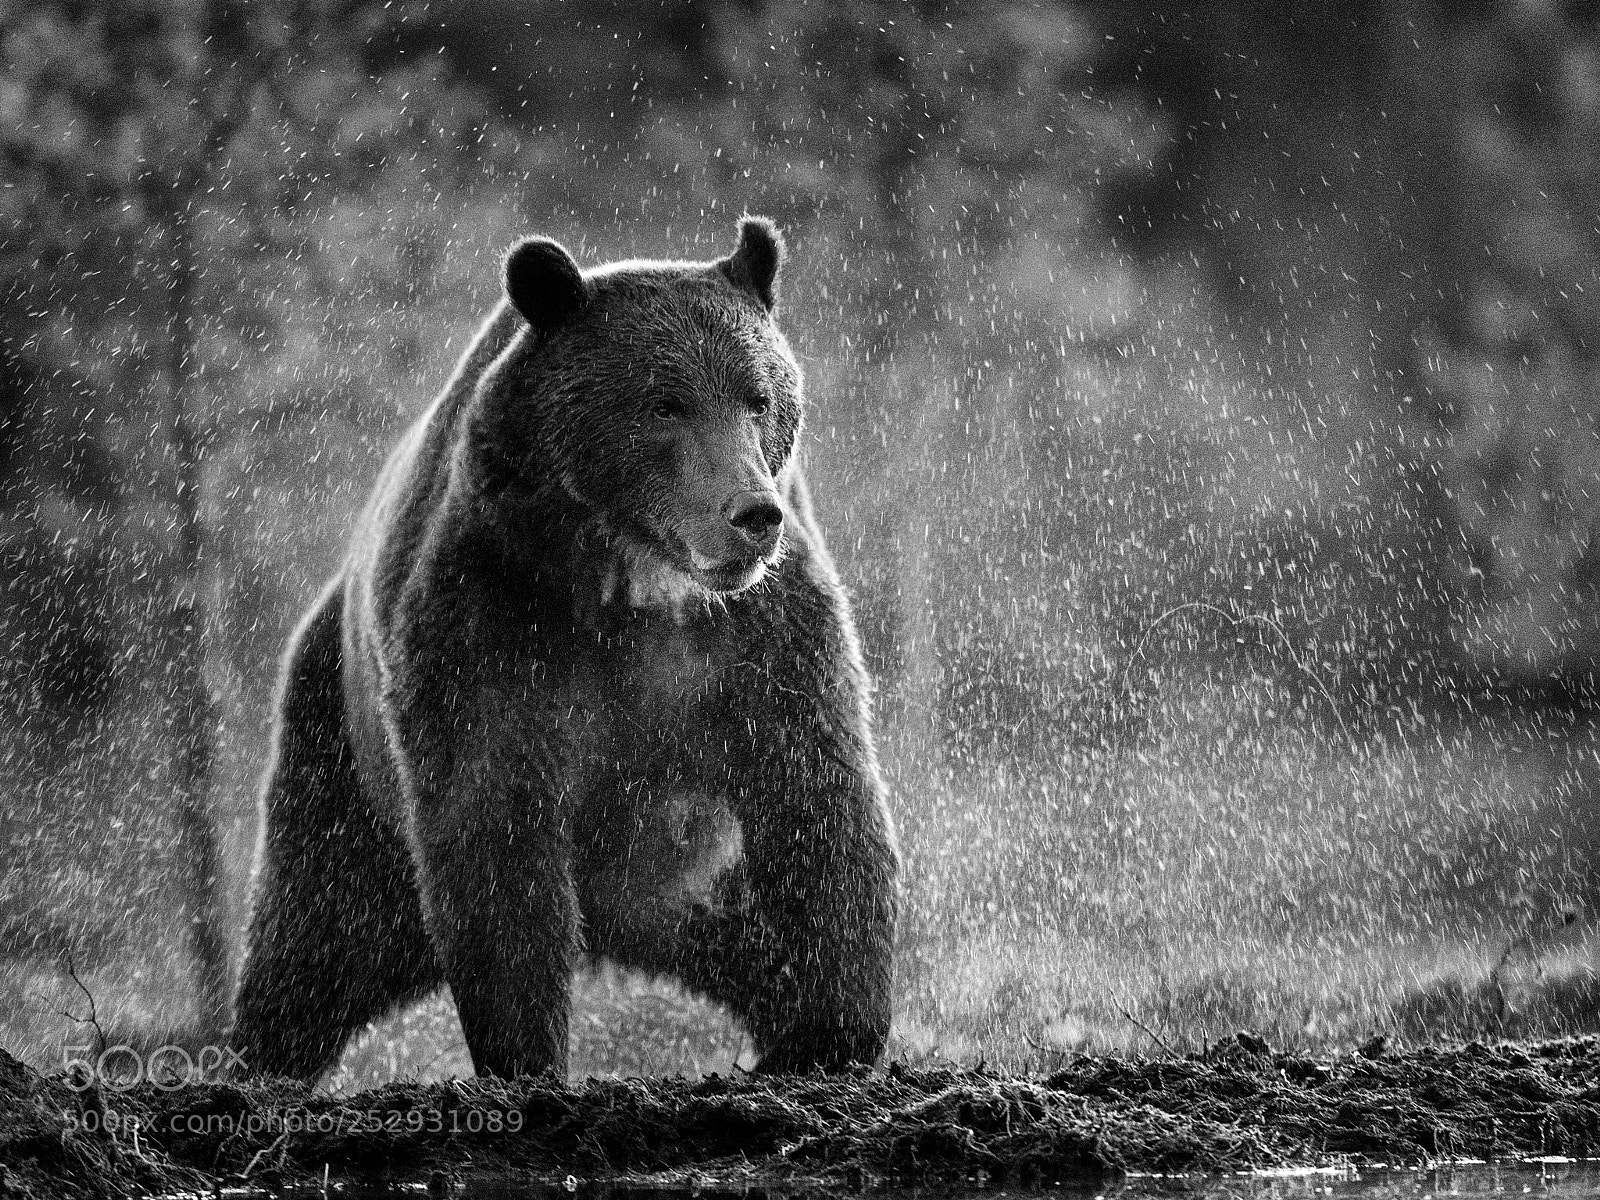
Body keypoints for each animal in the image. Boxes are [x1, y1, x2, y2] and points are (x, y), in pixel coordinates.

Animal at [229, 216, 900, 1080]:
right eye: (665, 403)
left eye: (759, 397)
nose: (752, 514)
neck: (633, 578)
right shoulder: (493, 614)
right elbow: (493, 823)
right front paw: (525, 1052)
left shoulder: (758, 636)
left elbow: (820, 795)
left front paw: (832, 1032)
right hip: (342, 752)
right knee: (317, 929)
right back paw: (261, 1057)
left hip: (681, 880)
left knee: (735, 929)